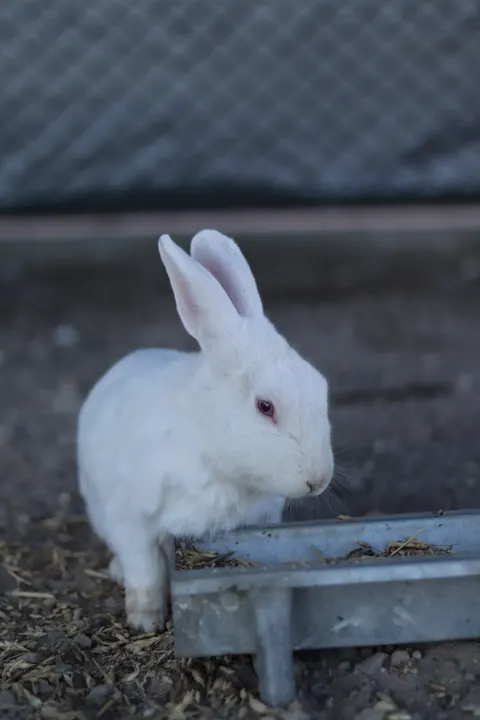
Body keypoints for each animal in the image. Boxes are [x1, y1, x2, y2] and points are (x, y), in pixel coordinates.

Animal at [77, 230, 334, 632]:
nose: (318, 480)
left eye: (321, 386)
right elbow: (145, 571)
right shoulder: (131, 518)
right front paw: (146, 621)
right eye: (265, 407)